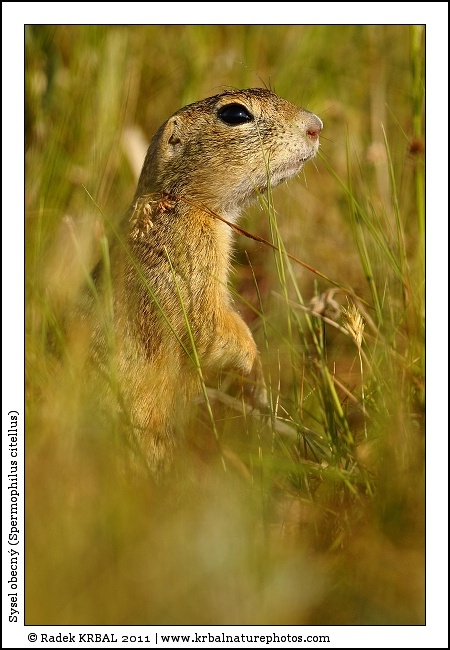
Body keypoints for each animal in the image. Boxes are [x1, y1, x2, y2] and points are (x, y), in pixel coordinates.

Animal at [93, 88, 322, 474]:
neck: (179, 201)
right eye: (235, 114)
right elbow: (211, 326)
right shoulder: (191, 262)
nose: (316, 126)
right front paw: (258, 380)